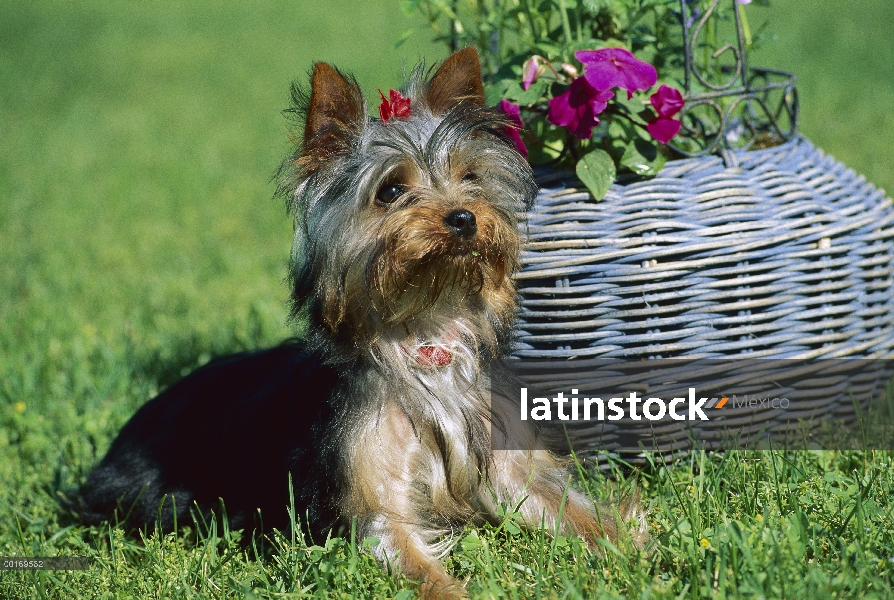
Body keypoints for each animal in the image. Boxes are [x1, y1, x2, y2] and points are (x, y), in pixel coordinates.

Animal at [82, 48, 644, 600]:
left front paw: (638, 554)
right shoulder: (372, 504)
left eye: (471, 178)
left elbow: (578, 512)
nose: (464, 217)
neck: (425, 333)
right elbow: (418, 564)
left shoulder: (512, 465)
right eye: (391, 190)